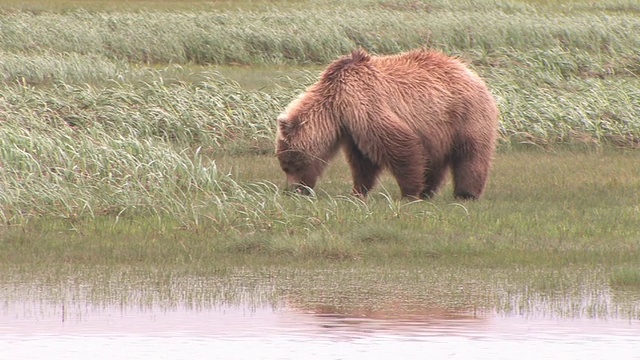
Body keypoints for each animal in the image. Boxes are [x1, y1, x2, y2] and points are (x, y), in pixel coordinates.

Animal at [276, 48, 500, 200]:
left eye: (289, 164)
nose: (293, 191)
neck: (335, 106)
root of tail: (472, 73)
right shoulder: (352, 128)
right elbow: (362, 161)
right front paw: (358, 192)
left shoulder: (364, 104)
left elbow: (399, 145)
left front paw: (409, 193)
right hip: (438, 130)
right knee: (436, 162)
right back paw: (428, 191)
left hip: (466, 116)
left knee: (471, 155)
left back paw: (466, 193)